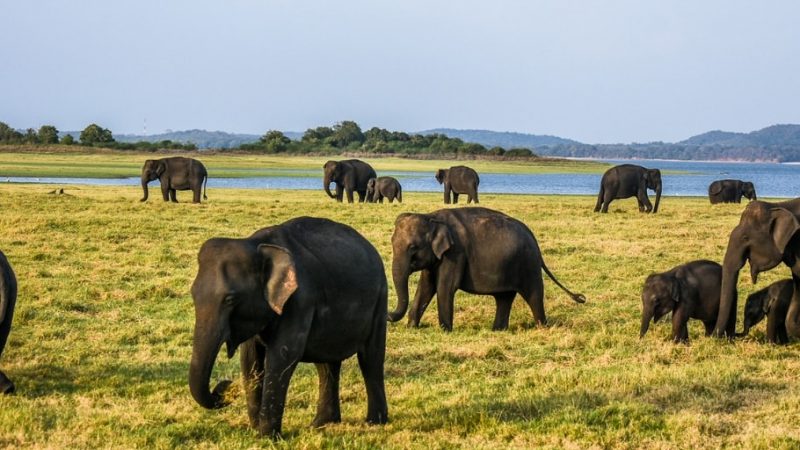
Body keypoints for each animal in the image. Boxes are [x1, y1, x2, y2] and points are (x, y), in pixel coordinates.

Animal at [188, 216, 388, 438]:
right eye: (193, 295)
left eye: (230, 299)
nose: (225, 388)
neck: (257, 245)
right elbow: (250, 358)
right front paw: (255, 430)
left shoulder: (300, 300)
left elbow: (283, 355)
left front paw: (267, 437)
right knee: (326, 363)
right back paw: (321, 423)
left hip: (380, 300)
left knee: (370, 358)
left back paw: (374, 422)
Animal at [390, 207, 588, 330]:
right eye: (391, 243)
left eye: (413, 247)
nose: (388, 315)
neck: (431, 216)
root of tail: (534, 240)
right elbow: (426, 287)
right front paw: (412, 327)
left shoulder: (455, 253)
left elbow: (445, 288)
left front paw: (445, 330)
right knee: (504, 297)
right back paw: (498, 330)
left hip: (528, 264)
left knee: (533, 294)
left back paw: (542, 327)